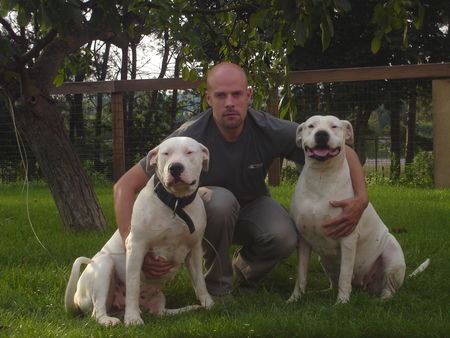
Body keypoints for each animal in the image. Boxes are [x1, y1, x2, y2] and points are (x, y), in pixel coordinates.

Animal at [65, 136, 214, 326]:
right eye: (166, 153)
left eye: (189, 152)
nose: (175, 167)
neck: (175, 202)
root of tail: (76, 299)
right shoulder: (136, 247)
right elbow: (133, 285)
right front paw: (133, 318)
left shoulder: (195, 249)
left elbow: (200, 281)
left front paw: (208, 304)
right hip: (104, 265)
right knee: (97, 311)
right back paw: (109, 320)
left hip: (158, 297)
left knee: (161, 312)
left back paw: (188, 309)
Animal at [286, 115, 410, 304]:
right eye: (311, 126)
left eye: (334, 126)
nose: (321, 134)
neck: (321, 177)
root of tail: (364, 284)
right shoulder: (303, 239)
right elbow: (301, 274)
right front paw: (295, 298)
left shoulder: (347, 239)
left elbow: (345, 275)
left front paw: (342, 303)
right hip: (325, 260)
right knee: (333, 282)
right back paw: (322, 292)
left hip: (392, 257)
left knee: (388, 287)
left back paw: (381, 299)